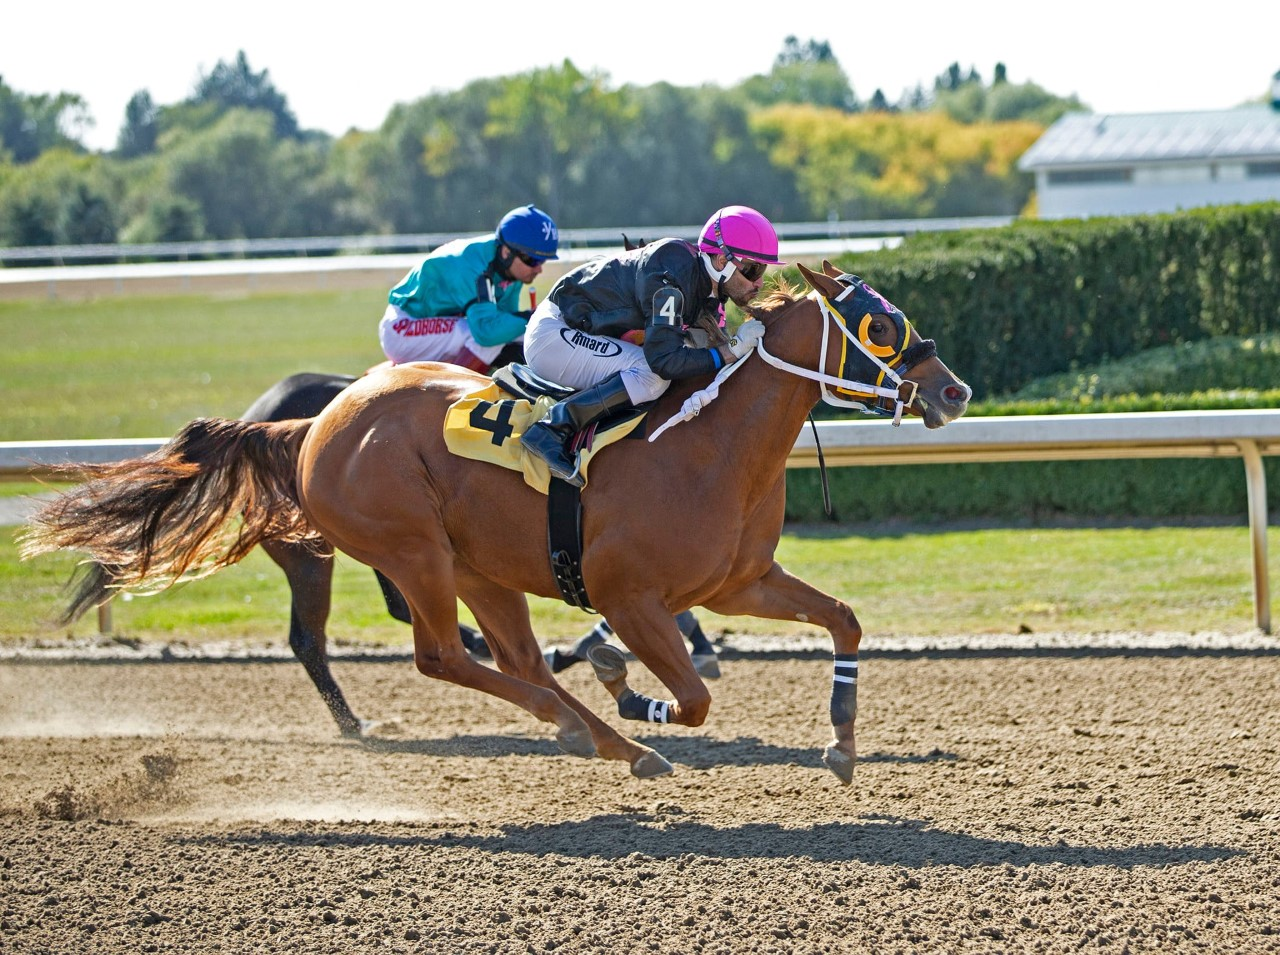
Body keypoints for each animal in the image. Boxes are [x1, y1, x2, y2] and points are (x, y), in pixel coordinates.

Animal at [21, 262, 971, 783]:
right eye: (880, 323)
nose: (955, 390)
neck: (712, 447)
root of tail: (312, 423)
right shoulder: (630, 595)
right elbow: (694, 697)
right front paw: (634, 688)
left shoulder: (741, 581)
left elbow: (843, 619)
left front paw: (841, 743)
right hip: (411, 550)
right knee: (438, 654)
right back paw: (594, 727)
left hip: (475, 564)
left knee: (510, 658)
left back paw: (603, 735)